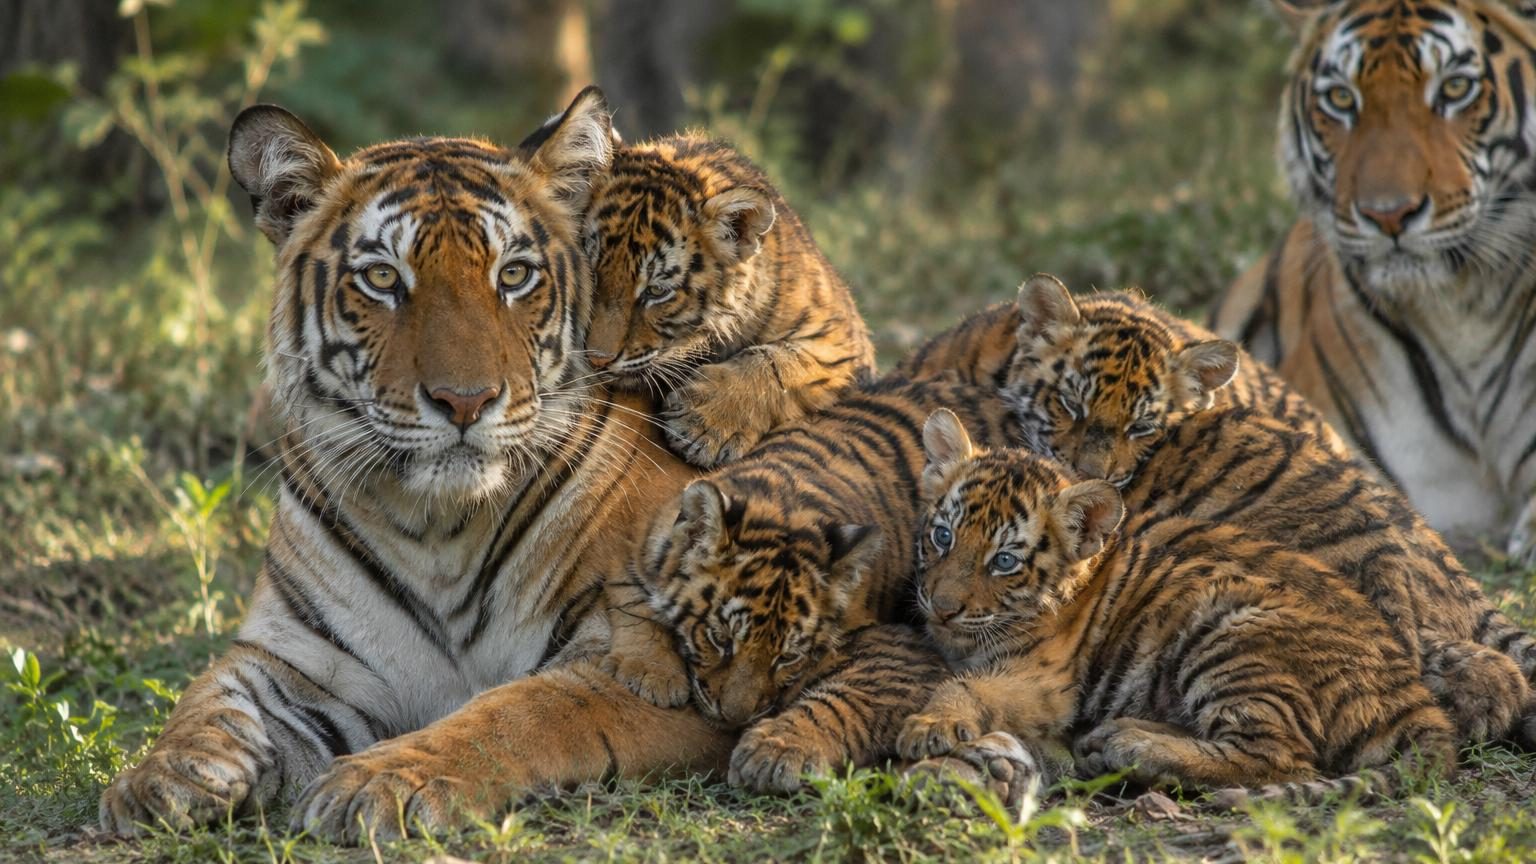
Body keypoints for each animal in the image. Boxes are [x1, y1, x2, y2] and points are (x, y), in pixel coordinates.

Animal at [99, 89, 746, 844]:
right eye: (383, 278)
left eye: (514, 275)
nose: (465, 400)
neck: (438, 530)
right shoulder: (297, 656)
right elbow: (206, 698)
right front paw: (156, 779)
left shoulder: (665, 668)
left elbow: (525, 712)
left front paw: (380, 780)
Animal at [576, 132, 876, 468]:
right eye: (592, 272)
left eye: (656, 291)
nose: (597, 359)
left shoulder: (840, 340)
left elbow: (777, 363)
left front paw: (702, 426)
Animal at [600, 376, 1021, 793]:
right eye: (719, 639)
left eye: (788, 657)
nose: (733, 718)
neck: (786, 501)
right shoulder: (639, 548)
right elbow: (633, 601)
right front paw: (652, 673)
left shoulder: (904, 649)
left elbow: (843, 699)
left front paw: (775, 751)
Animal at [897, 410, 1459, 804]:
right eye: (943, 536)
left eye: (1005, 561)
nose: (941, 608)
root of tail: (1415, 699)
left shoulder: (1045, 683)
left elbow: (969, 684)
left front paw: (928, 726)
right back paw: (1117, 738)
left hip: (1230, 630)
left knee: (1283, 758)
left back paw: (1133, 746)